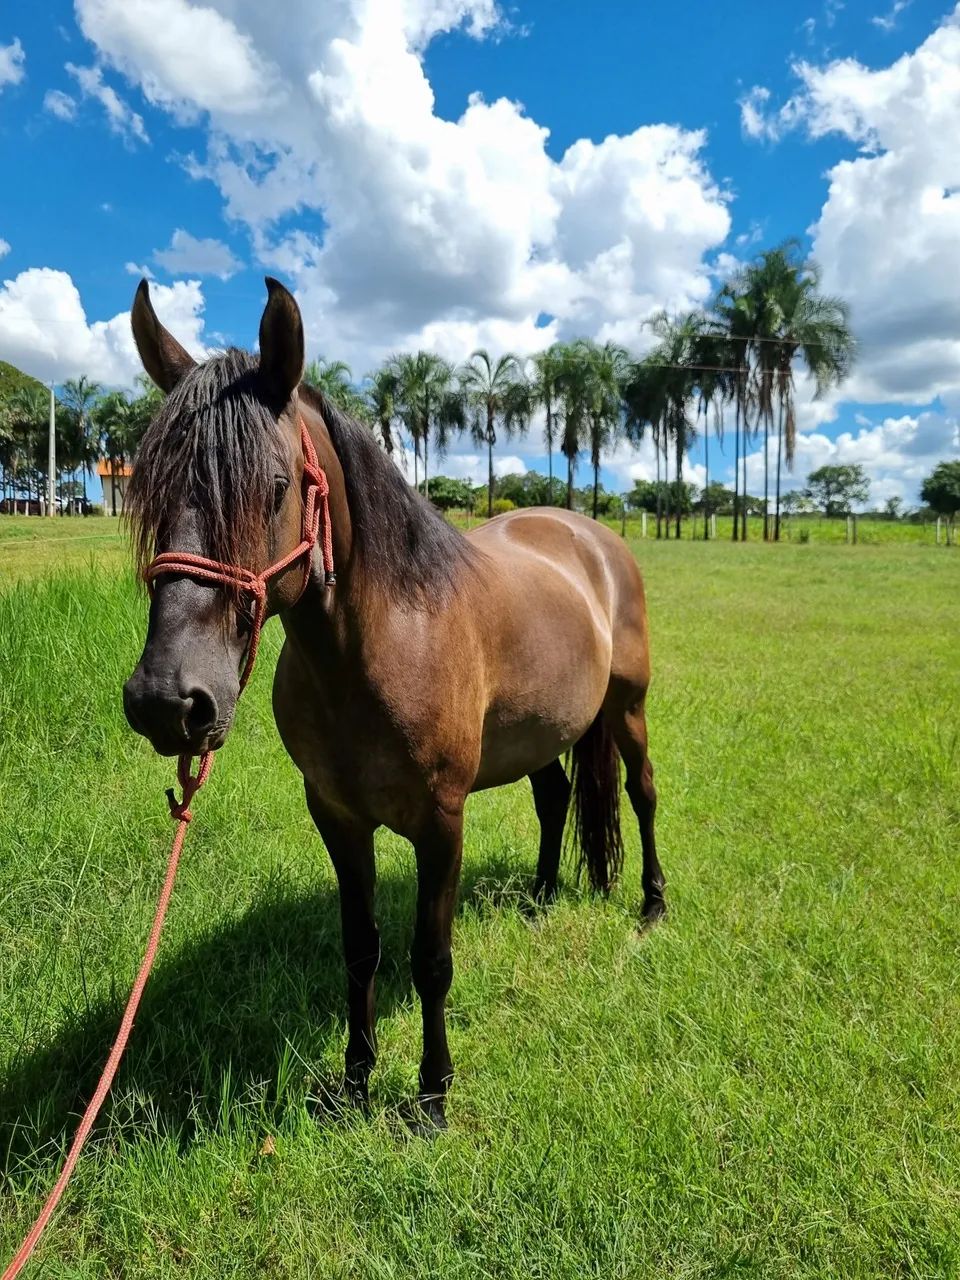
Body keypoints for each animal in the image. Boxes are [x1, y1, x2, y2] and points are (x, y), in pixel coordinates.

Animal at [122, 277, 665, 1130]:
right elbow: (362, 948)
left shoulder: (441, 821)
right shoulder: (338, 817)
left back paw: (650, 906)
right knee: (555, 799)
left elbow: (430, 958)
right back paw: (543, 898)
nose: (167, 702)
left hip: (628, 710)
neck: (376, 647)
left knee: (641, 794)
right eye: (148, 491)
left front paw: (433, 1092)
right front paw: (354, 1079)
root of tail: (591, 535)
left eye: (274, 487)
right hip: (540, 734)